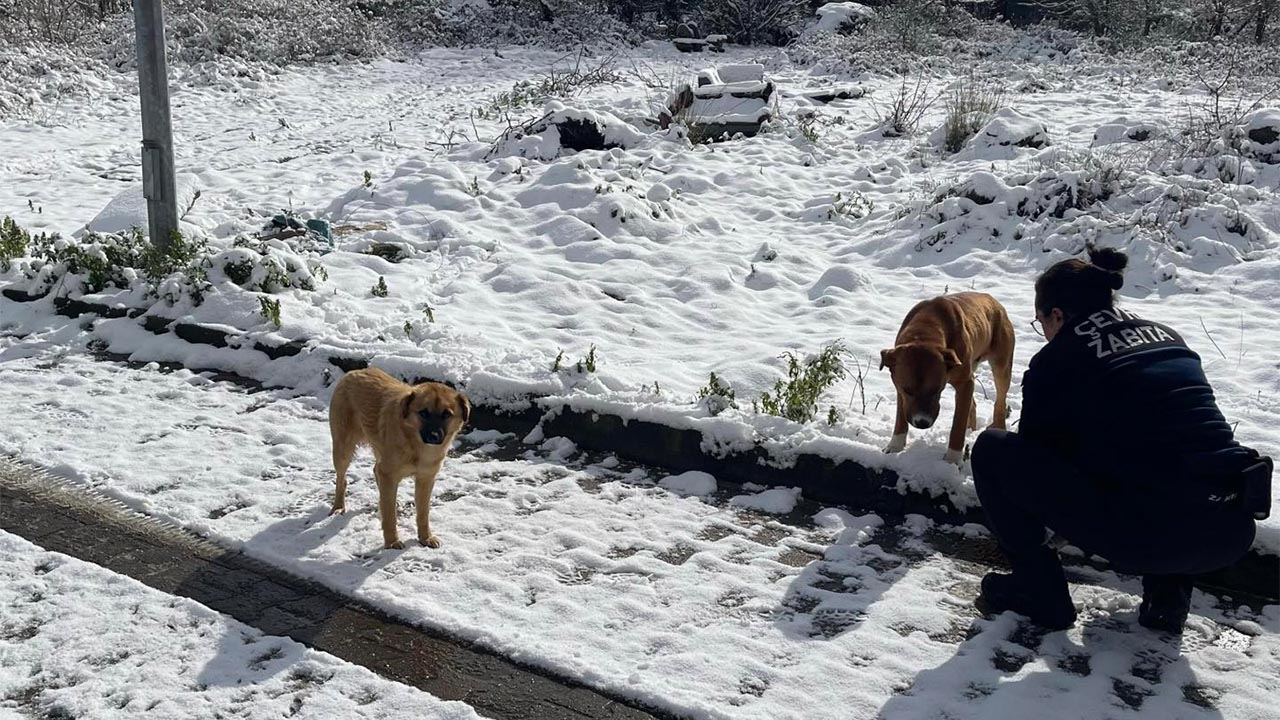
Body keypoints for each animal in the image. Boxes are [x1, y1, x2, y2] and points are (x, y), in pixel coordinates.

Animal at [330, 366, 471, 545]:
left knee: (375, 470)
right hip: (343, 450)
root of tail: (355, 371)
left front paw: (425, 537)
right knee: (342, 479)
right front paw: (392, 542)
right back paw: (338, 506)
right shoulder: (389, 474)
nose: (433, 436)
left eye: (446, 414)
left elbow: (423, 513)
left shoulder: (425, 479)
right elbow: (390, 515)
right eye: (423, 413)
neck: (415, 445)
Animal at [880, 289, 1008, 461]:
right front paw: (895, 446)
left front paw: (952, 458)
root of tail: (992, 300)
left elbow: (958, 423)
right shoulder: (899, 385)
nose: (922, 422)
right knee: (973, 404)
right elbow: (901, 415)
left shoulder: (964, 382)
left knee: (1000, 400)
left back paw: (998, 426)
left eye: (936, 390)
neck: (923, 332)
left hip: (1002, 365)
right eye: (908, 391)